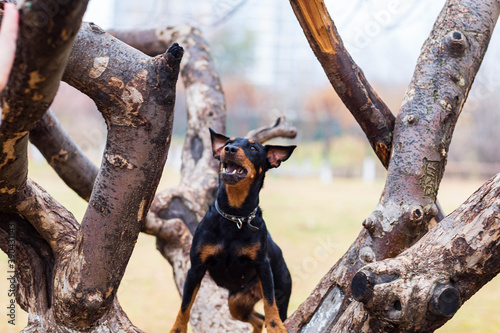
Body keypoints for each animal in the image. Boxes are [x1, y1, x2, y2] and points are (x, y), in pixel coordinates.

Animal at [171, 129, 296, 332]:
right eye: (227, 143)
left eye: (253, 148)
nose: (229, 149)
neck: (235, 215)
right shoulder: (196, 268)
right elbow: (185, 305)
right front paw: (177, 329)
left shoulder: (263, 267)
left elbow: (270, 303)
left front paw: (276, 327)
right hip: (236, 302)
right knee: (256, 319)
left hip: (279, 290)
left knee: (271, 311)